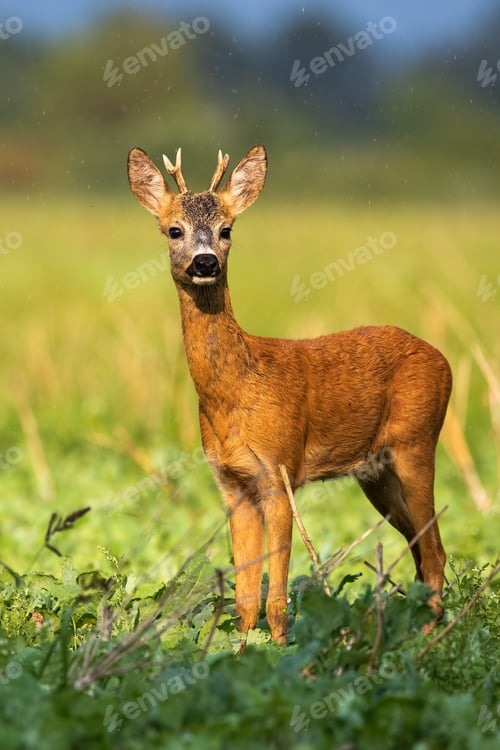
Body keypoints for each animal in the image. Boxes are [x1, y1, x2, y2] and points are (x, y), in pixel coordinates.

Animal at [127, 144, 452, 643]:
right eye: (173, 230)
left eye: (226, 229)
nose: (205, 262)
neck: (236, 394)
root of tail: (444, 360)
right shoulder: (231, 484)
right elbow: (245, 596)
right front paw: (241, 650)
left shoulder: (279, 472)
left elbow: (276, 595)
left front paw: (280, 650)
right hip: (376, 473)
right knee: (422, 550)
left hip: (417, 442)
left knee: (435, 553)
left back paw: (427, 639)